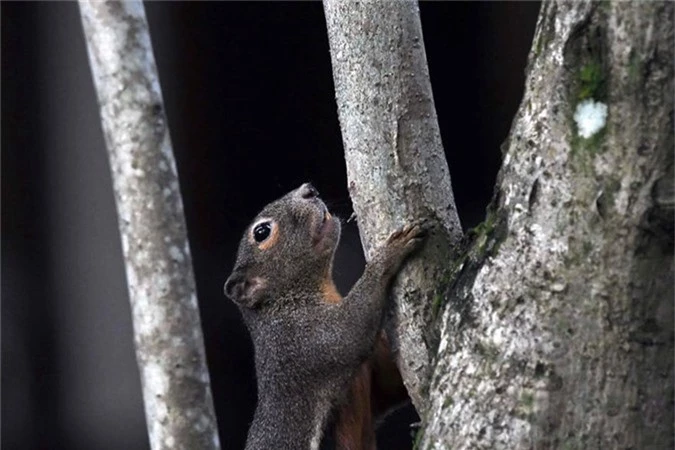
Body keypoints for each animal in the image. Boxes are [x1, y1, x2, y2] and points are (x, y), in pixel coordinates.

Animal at [226, 184, 428, 450]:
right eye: (261, 232)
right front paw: (390, 252)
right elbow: (352, 329)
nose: (309, 189)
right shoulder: (303, 343)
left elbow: (391, 385)